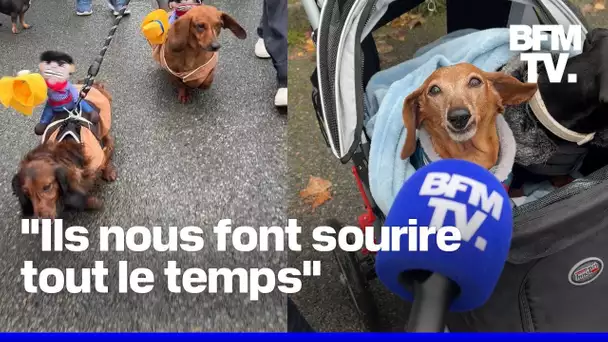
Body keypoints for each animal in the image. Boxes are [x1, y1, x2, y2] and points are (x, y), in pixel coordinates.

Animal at [11, 81, 116, 218]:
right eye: (27, 193)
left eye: (47, 187)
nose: (40, 221)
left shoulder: (99, 158)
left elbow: (105, 160)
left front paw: (108, 172)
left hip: (104, 121)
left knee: (107, 137)